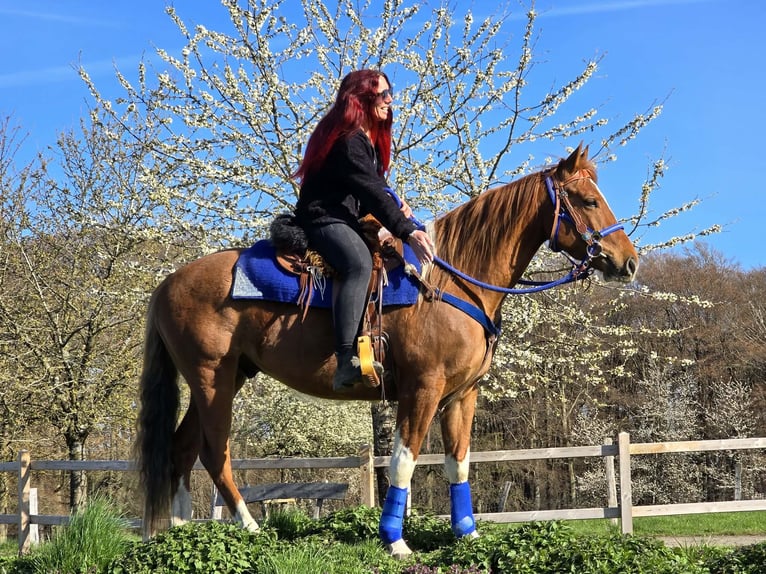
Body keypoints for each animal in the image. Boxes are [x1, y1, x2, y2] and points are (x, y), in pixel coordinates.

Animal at [137, 144, 638, 557]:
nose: (629, 262)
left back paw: (179, 532)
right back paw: (249, 528)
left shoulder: (461, 396)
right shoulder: (422, 390)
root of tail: (167, 282)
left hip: (227, 377)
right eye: (588, 201)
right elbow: (402, 463)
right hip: (212, 380)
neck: (451, 281)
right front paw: (394, 541)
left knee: (181, 449)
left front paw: (467, 535)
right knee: (213, 452)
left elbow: (458, 464)